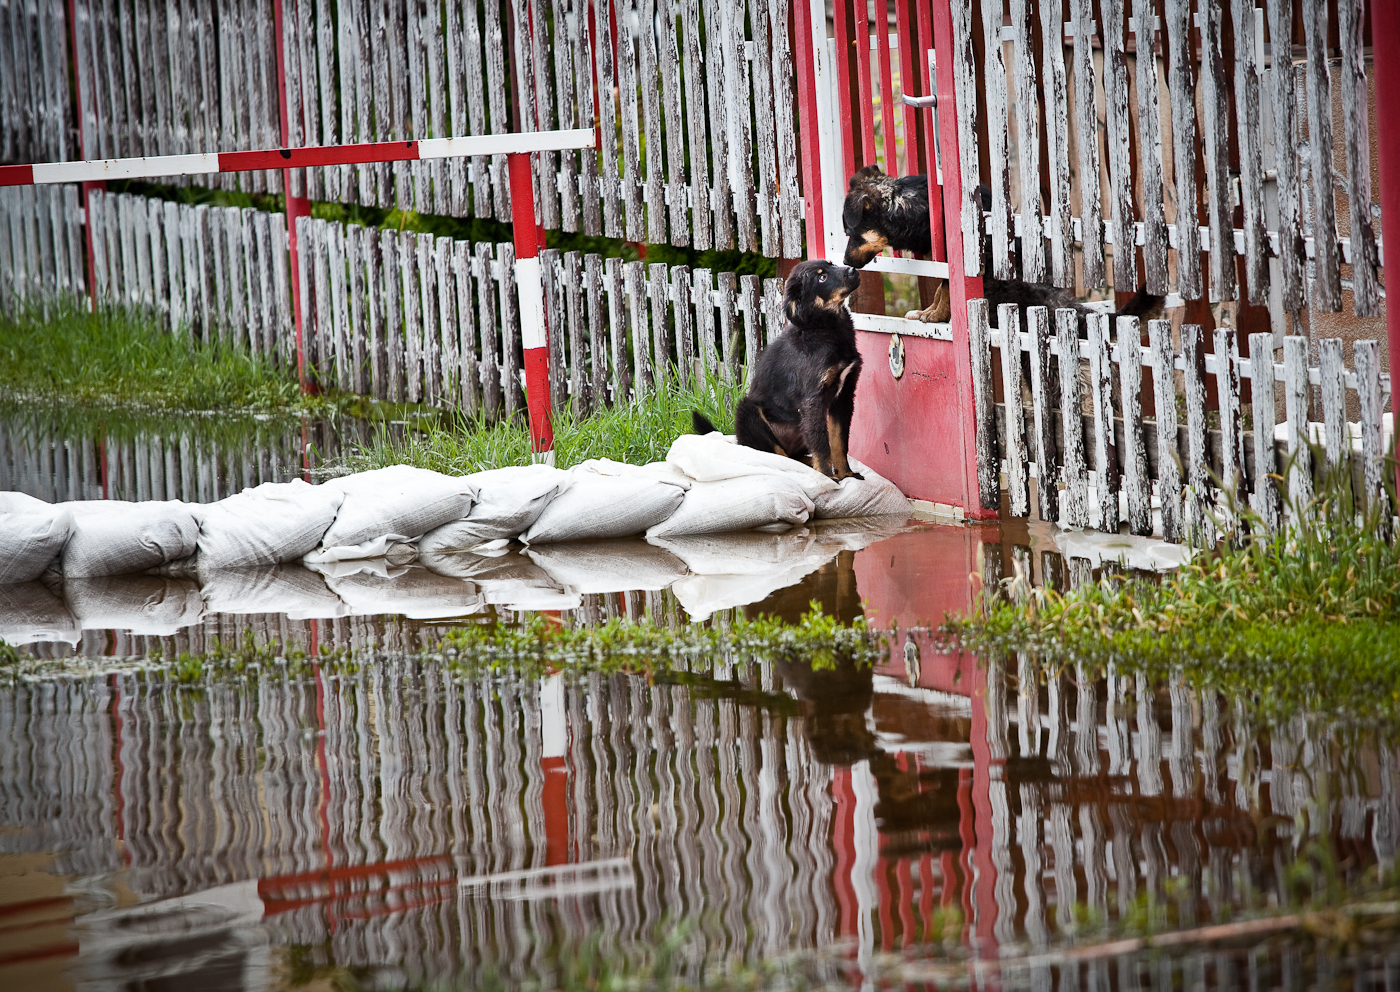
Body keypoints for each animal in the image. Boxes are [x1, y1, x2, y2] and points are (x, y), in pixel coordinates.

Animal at [691, 258, 862, 478]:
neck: (824, 330)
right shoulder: (812, 399)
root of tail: (738, 441)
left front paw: (846, 474)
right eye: (822, 277)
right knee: (778, 456)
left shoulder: (844, 395)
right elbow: (822, 444)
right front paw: (828, 477)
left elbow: (839, 441)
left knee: (793, 456)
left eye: (831, 265)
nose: (853, 270)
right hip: (749, 412)